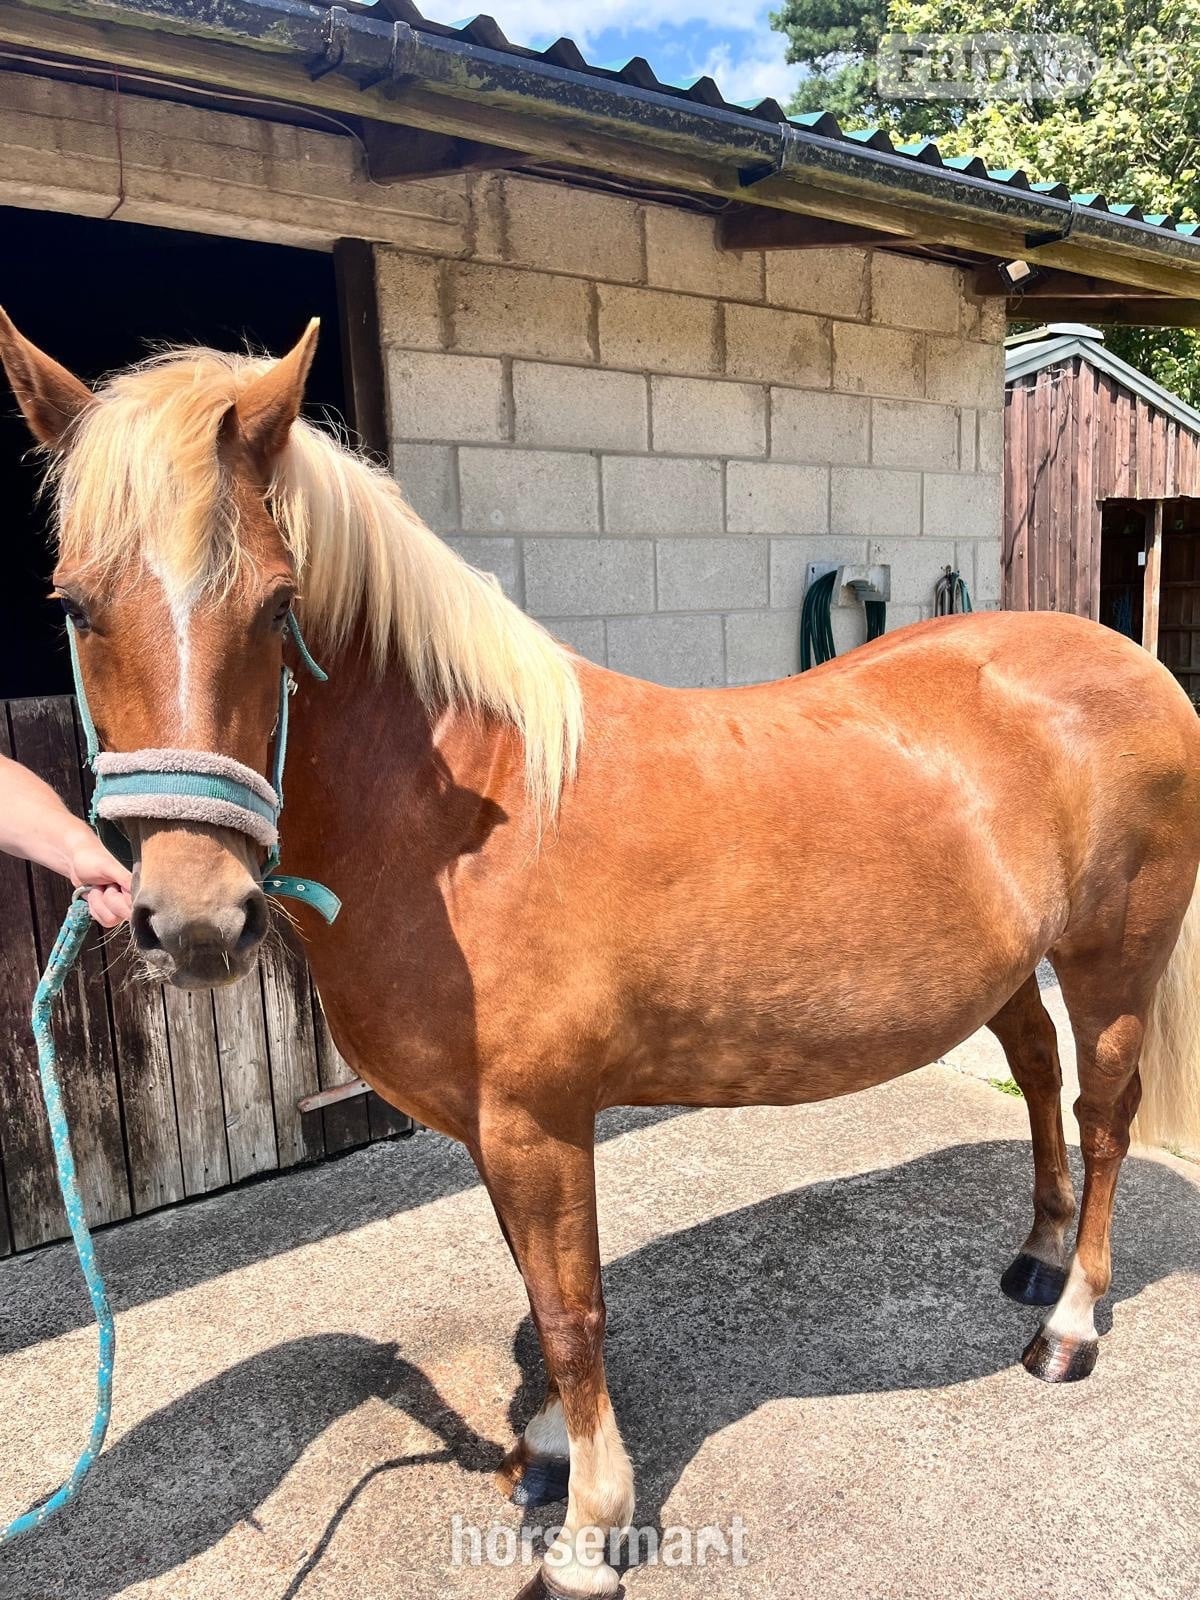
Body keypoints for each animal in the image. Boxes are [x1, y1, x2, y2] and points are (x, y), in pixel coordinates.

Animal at [2, 310, 1199, 1600]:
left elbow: (574, 1315)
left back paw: (1067, 1324)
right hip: (1013, 966)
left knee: (1106, 1113)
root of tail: (1135, 665)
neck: (460, 822)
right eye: (75, 605)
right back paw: (1033, 1256)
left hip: (1114, 962)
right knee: (1036, 1075)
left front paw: (589, 1529)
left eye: (278, 608)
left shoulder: (539, 1121)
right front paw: (544, 1453)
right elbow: (540, 1297)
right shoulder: (492, 1128)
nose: (195, 918)